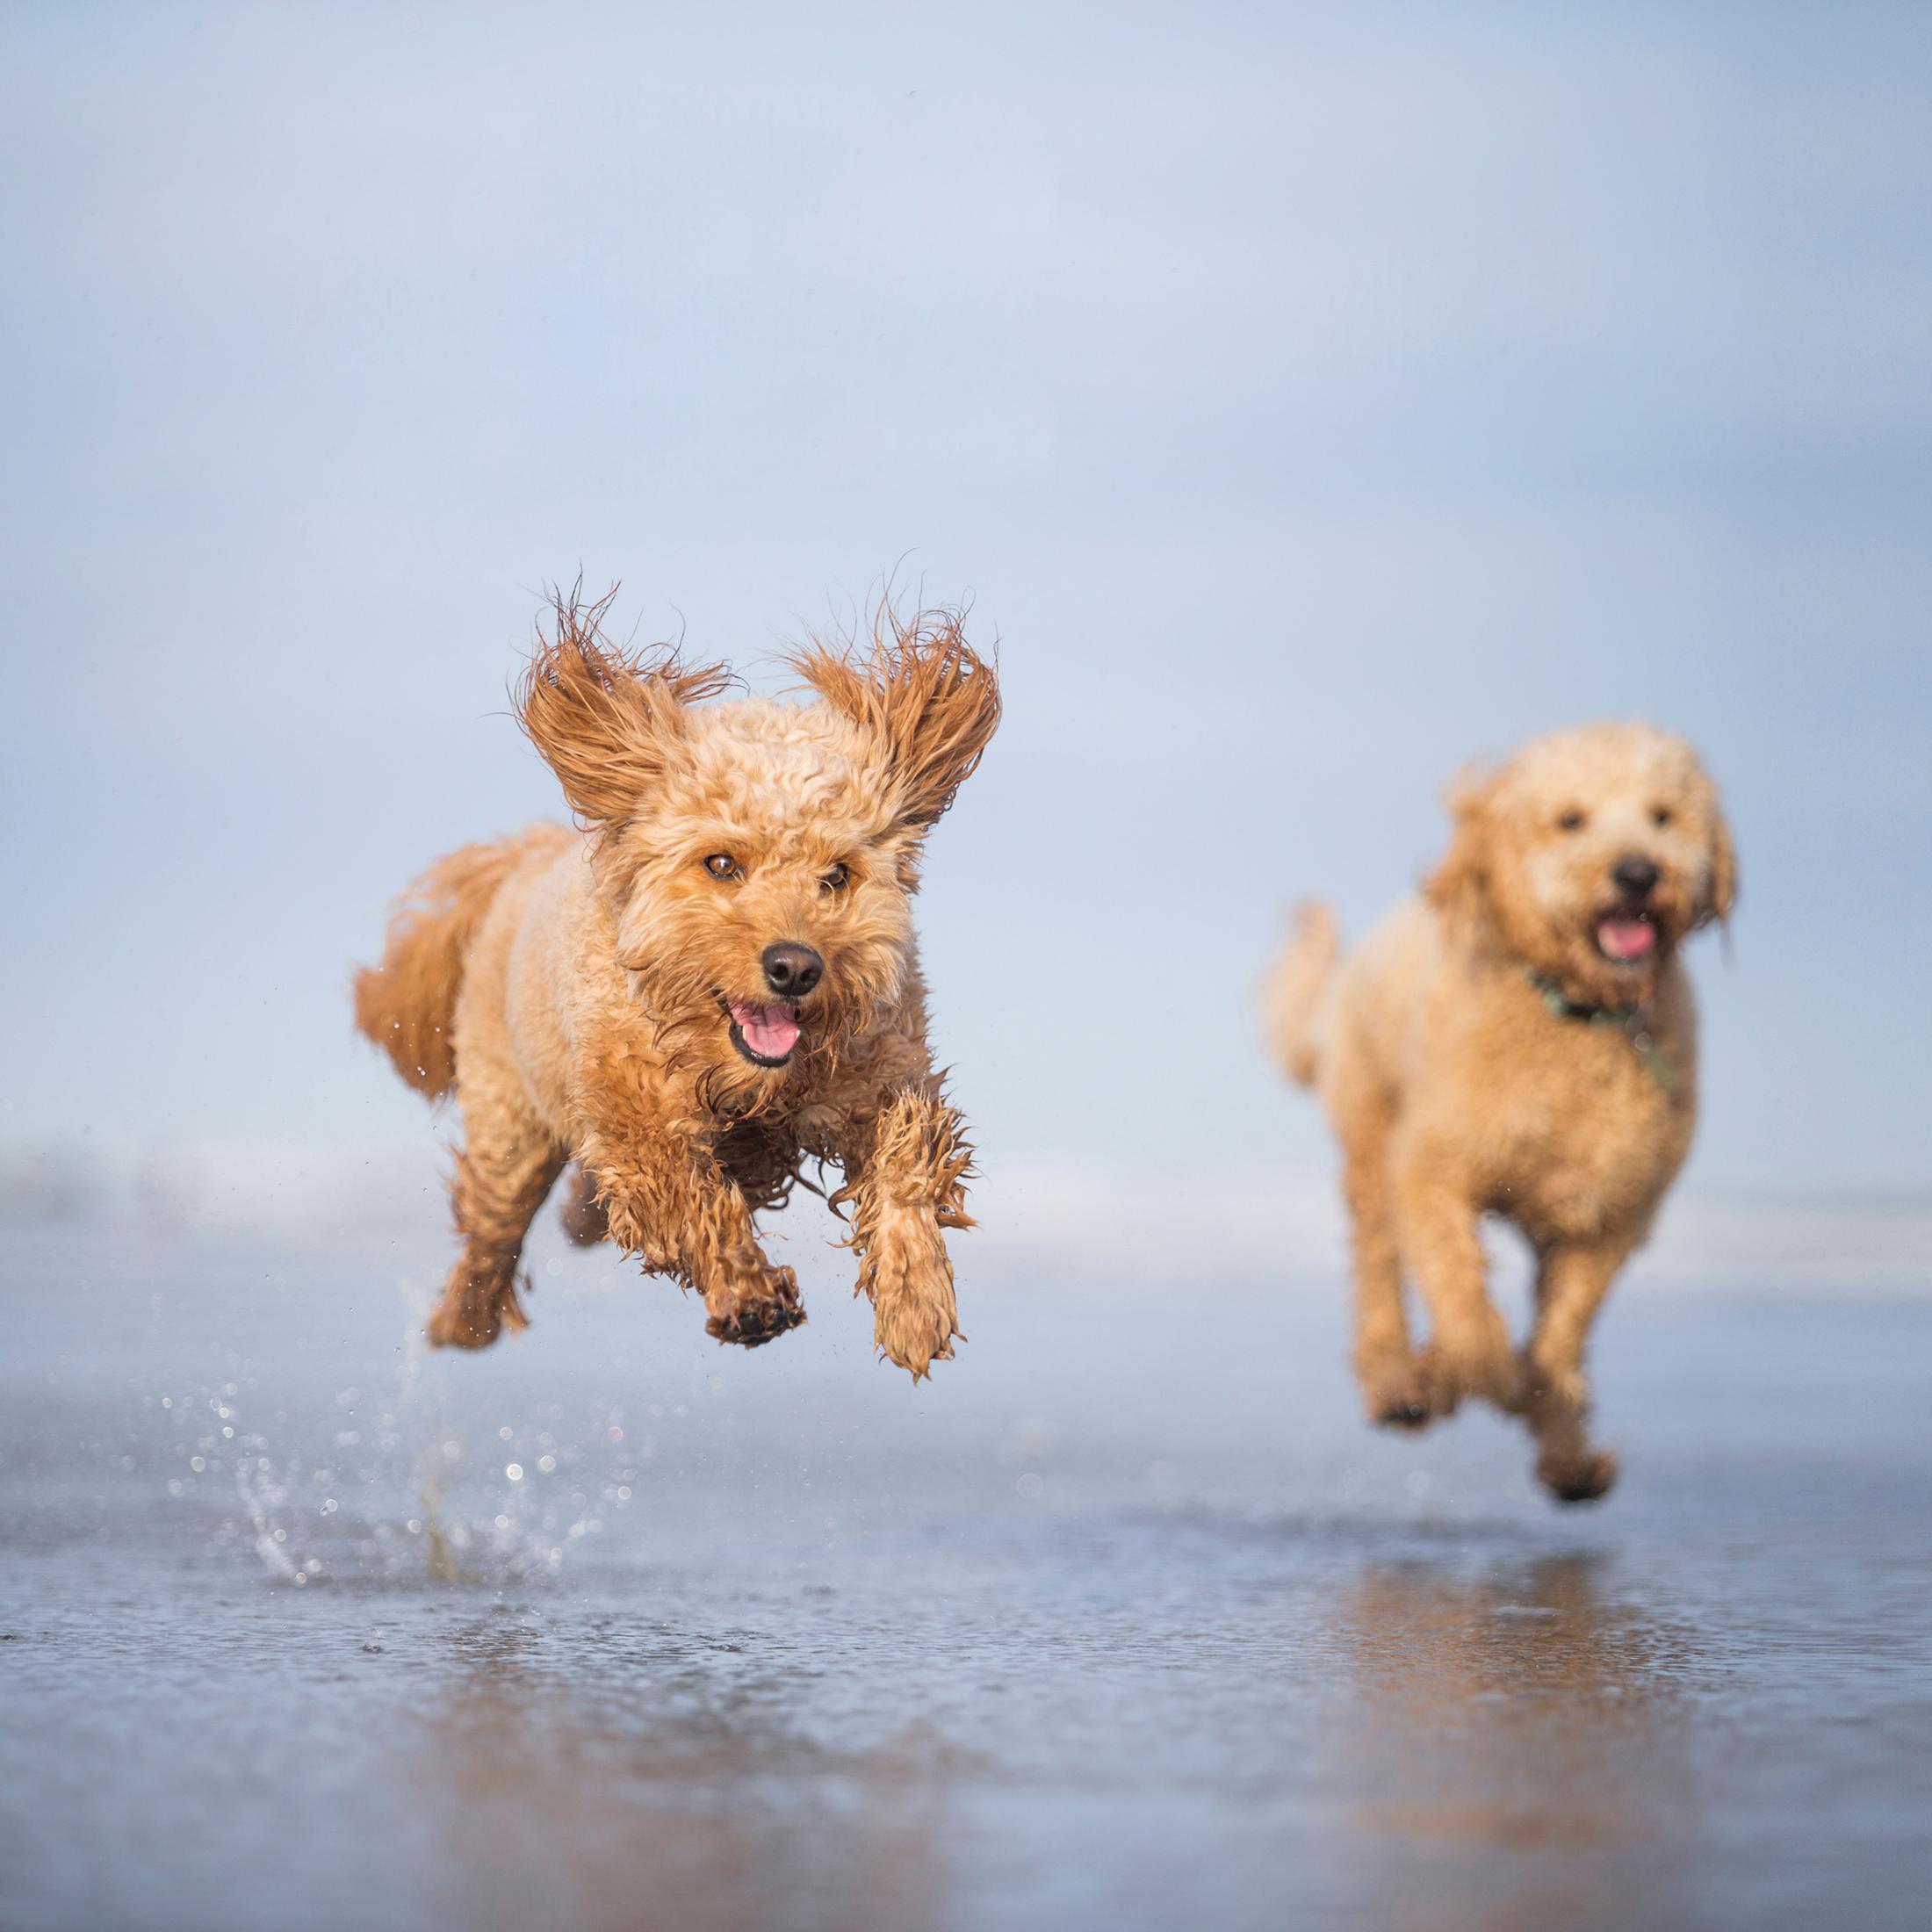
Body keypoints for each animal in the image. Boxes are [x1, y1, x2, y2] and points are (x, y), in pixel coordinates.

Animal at [353, 587, 1005, 1375]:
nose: (795, 967)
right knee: (494, 1227)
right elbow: (687, 1198)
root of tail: (527, 857)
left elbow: (907, 1162)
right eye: (721, 863)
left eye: (838, 875)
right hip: (511, 1118)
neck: (749, 1081)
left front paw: (915, 1300)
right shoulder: (636, 1115)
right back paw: (465, 1319)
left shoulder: (881, 1071)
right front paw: (748, 1294)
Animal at [1267, 722, 1739, 1491]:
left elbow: (1562, 1333)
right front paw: (1452, 1376)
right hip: (1371, 1134)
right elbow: (1467, 1315)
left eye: (1664, 816)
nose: (1638, 873)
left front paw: (1562, 1438)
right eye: (1570, 819)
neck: (1577, 1014)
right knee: (1377, 1261)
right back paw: (1397, 1380)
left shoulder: (1607, 1216)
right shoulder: (1433, 1175)